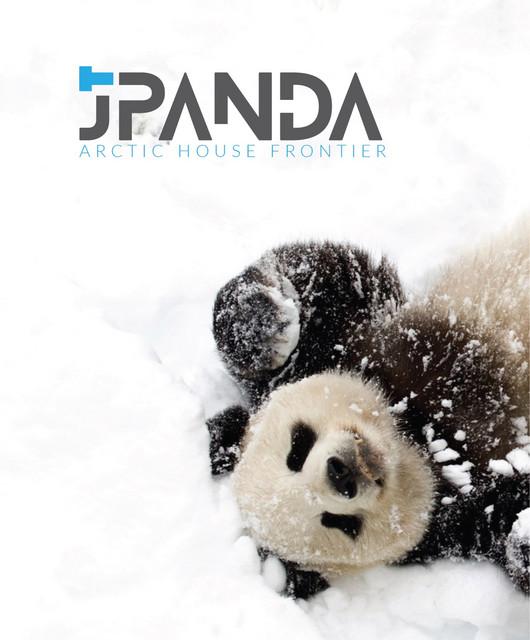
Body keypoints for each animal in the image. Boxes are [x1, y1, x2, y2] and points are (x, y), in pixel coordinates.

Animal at [206, 217, 530, 598]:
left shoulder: (353, 337)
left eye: (297, 450)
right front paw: (523, 537)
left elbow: (325, 269)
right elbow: (503, 524)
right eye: (338, 522)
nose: (342, 474)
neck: (419, 435)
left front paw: (266, 330)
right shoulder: (465, 515)